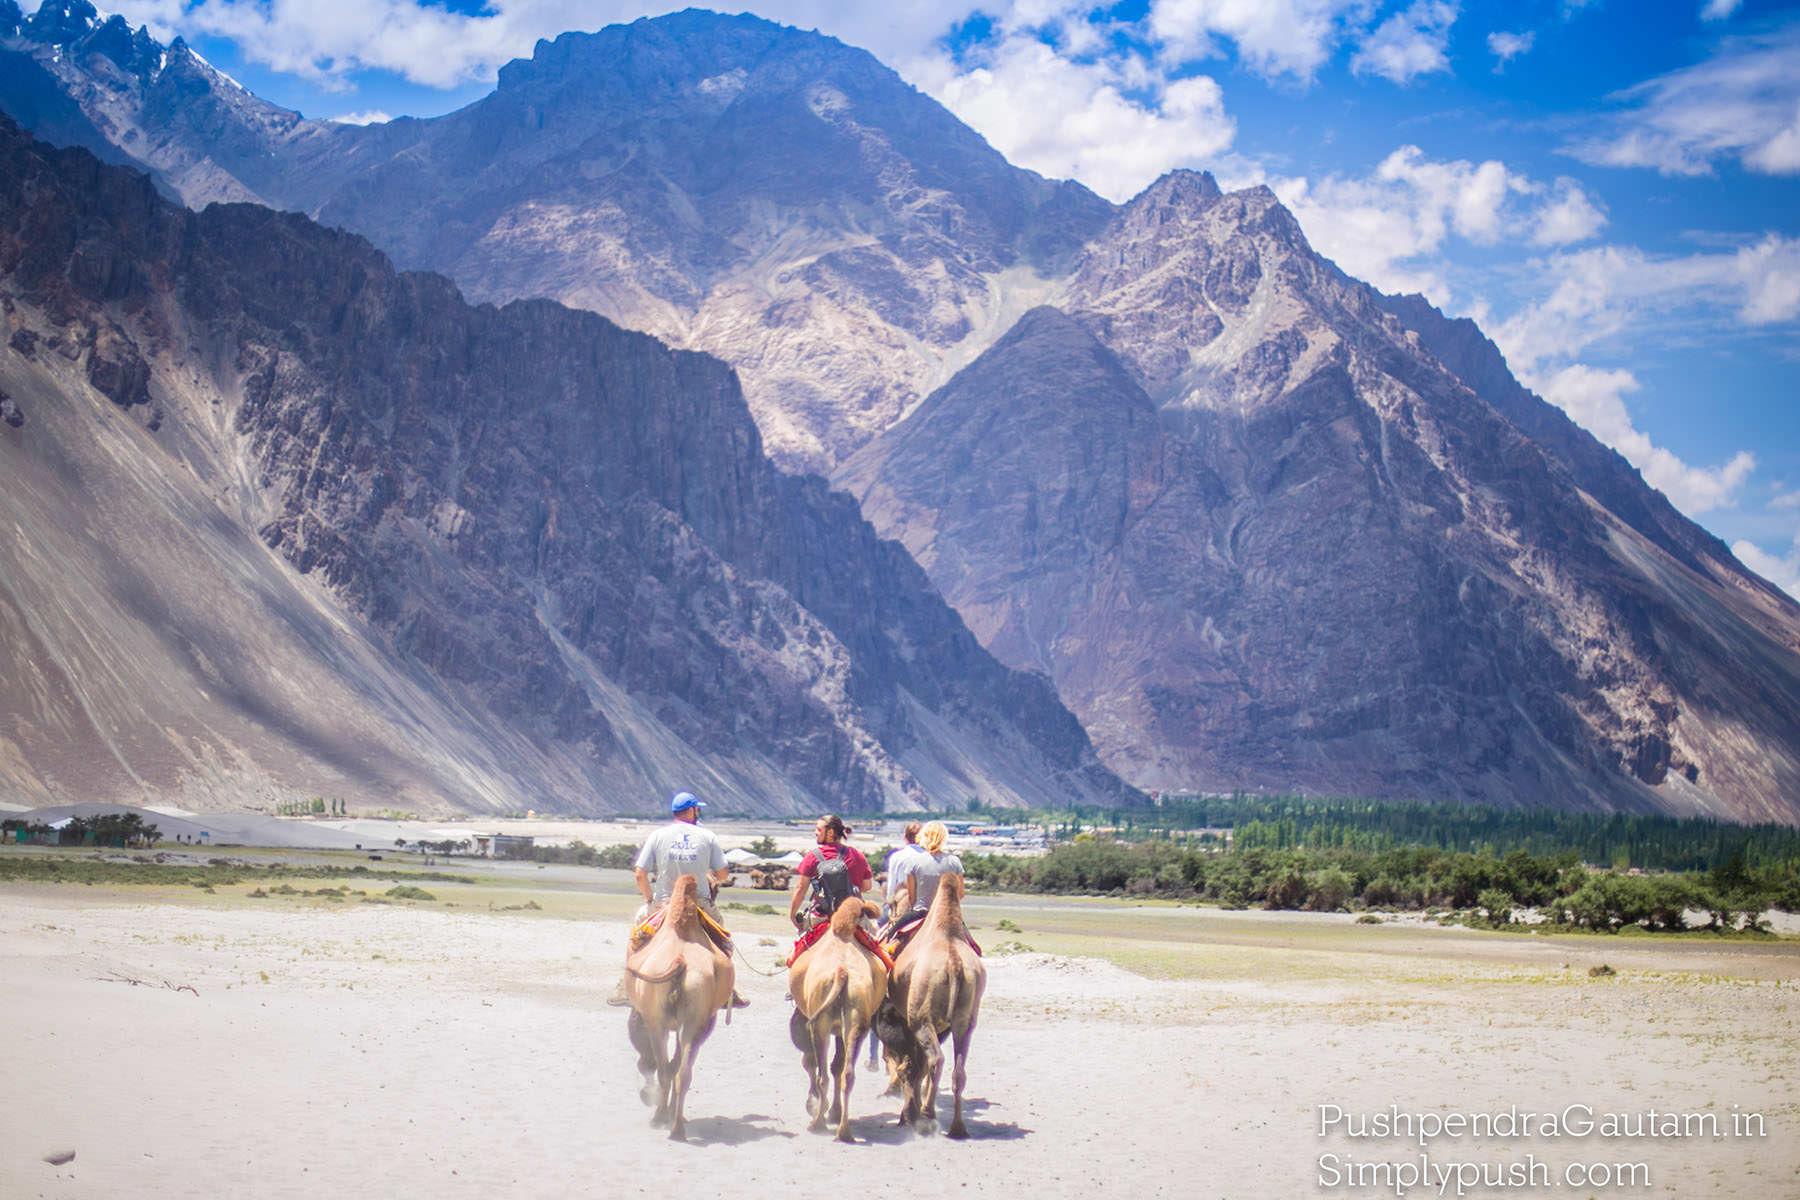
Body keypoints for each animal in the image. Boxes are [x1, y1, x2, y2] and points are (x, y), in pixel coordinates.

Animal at [619, 874, 730, 1137]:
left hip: (659, 1022)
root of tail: (681, 962)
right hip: (691, 1020)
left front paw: (648, 1095)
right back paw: (676, 1125)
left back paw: (660, 1117)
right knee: (681, 1071)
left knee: (665, 1068)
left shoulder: (643, 1015)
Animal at [792, 895, 889, 1144]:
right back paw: (843, 1129)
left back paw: (818, 1122)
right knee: (846, 1072)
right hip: (856, 1020)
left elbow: (812, 1061)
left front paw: (816, 1105)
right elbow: (836, 1065)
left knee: (823, 1073)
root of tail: (841, 972)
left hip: (821, 1023)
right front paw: (831, 1110)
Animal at [871, 874, 986, 1137]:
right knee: (957, 1068)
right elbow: (913, 1066)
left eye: (892, 903)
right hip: (964, 1021)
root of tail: (954, 963)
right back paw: (957, 1127)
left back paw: (926, 1115)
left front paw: (907, 1115)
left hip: (921, 1020)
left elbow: (908, 1065)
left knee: (935, 1060)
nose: (890, 919)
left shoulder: (903, 1020)